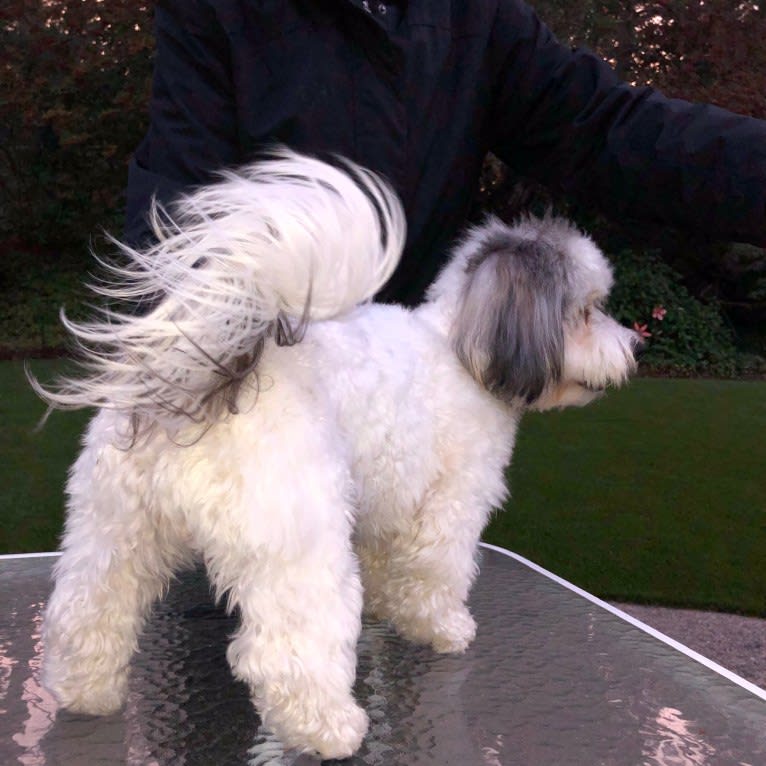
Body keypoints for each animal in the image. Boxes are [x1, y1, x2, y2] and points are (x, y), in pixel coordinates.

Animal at [31, 150, 636, 760]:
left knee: (86, 613)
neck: (462, 350)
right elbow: (437, 573)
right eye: (588, 311)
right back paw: (329, 729)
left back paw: (85, 691)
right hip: (300, 541)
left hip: (112, 530)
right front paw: (444, 628)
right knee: (288, 653)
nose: (634, 344)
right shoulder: (452, 502)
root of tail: (212, 381)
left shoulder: (386, 504)